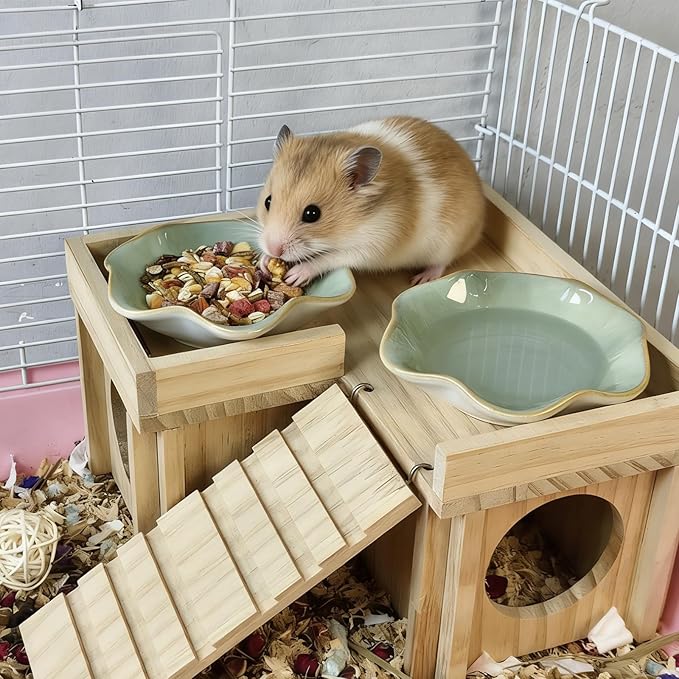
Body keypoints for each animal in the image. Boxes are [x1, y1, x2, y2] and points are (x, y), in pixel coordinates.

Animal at [255, 115, 485, 286]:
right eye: (268, 201)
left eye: (312, 214)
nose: (273, 250)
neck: (355, 223)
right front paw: (264, 262)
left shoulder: (374, 243)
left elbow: (329, 258)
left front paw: (296, 274)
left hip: (448, 243)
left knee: (440, 263)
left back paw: (421, 279)